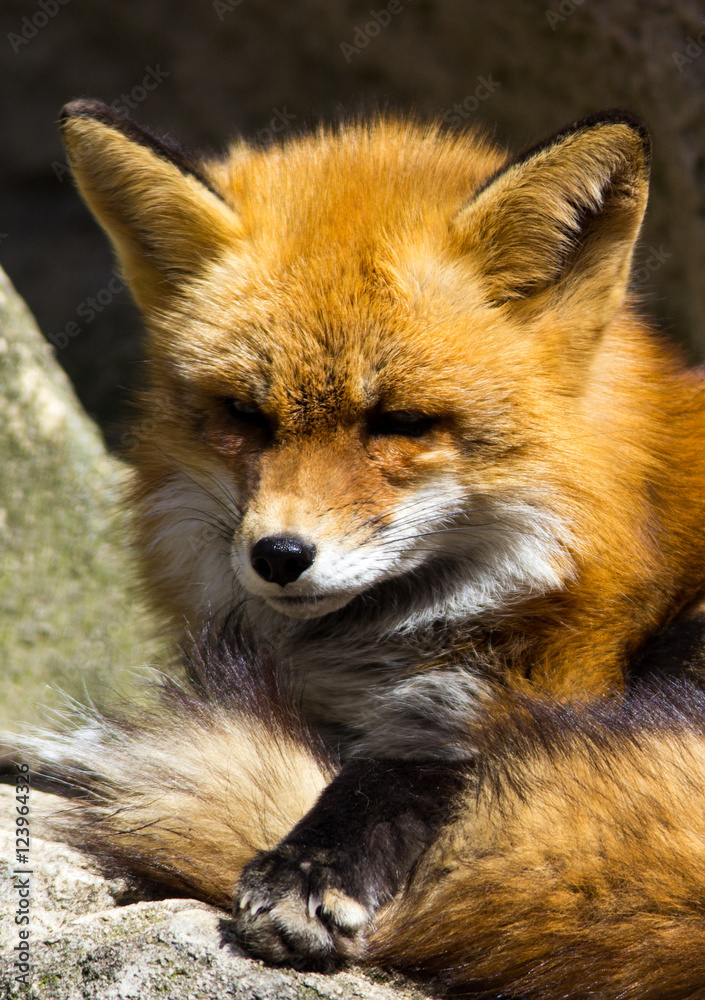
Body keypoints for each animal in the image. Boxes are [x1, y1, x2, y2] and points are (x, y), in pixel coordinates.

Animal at [11, 98, 705, 999]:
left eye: (400, 422)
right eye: (245, 415)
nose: (278, 555)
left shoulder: (525, 691)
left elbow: (408, 762)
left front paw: (313, 865)